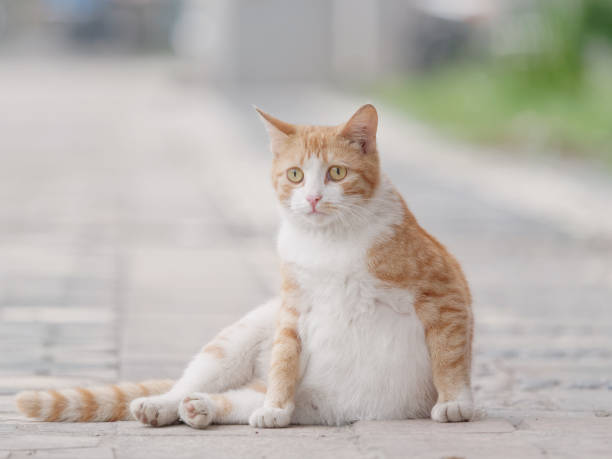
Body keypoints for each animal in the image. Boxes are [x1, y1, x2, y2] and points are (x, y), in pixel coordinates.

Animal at [14, 104, 474, 428]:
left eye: (337, 173)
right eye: (295, 175)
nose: (312, 199)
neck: (329, 241)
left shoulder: (445, 292)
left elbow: (450, 356)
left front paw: (454, 401)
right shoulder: (291, 310)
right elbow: (284, 359)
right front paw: (275, 407)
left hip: (305, 400)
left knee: (235, 401)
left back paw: (200, 410)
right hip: (231, 345)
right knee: (196, 384)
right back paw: (170, 405)